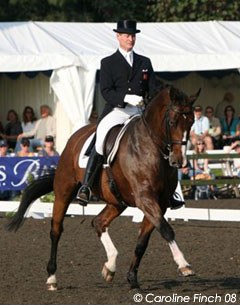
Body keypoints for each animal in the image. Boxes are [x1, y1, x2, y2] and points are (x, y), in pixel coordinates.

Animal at [6, 85, 200, 288]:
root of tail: (74, 137)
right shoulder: (145, 198)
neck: (151, 148)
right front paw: (184, 265)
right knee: (56, 230)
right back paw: (52, 277)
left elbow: (143, 241)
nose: (179, 161)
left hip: (117, 201)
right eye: (172, 121)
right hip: (63, 191)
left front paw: (132, 278)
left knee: (99, 222)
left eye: (191, 122)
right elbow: (167, 230)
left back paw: (110, 266)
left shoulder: (159, 203)